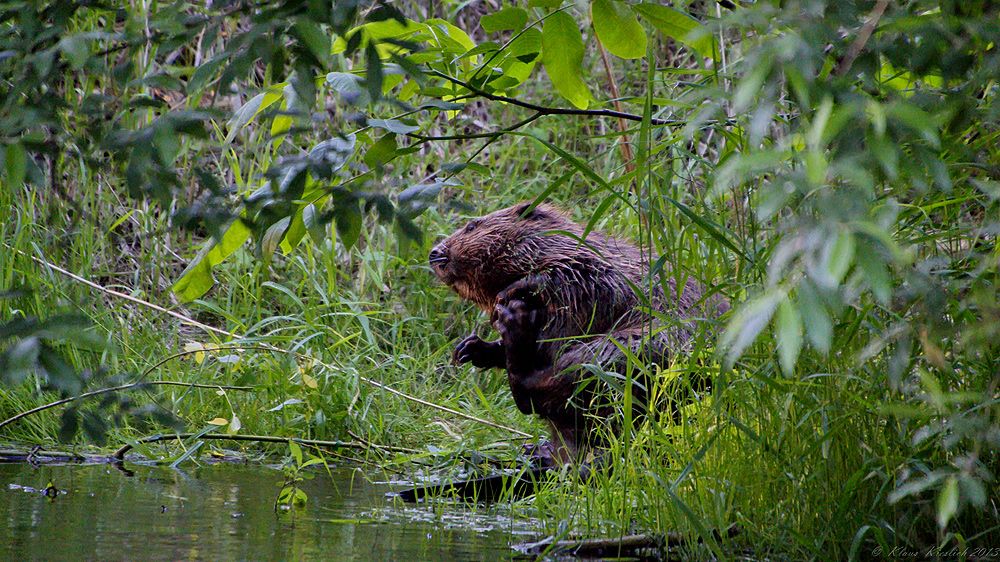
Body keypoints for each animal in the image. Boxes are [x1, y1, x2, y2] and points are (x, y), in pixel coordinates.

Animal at [430, 201, 728, 464]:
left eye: (472, 225)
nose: (434, 252)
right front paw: (470, 348)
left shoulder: (598, 263)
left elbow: (570, 277)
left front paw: (506, 298)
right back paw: (539, 450)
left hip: (628, 348)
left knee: (543, 390)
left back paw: (515, 325)